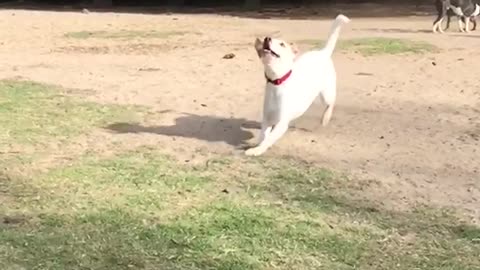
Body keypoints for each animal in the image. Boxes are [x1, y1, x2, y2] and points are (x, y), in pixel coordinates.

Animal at [246, 13, 350, 156]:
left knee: (331, 103)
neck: (277, 82)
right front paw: (259, 145)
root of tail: (323, 52)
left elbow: (269, 138)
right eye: (267, 39)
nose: (267, 38)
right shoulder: (267, 118)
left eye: (282, 44)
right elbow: (263, 135)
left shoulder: (282, 122)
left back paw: (325, 119)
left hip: (326, 94)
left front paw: (257, 150)